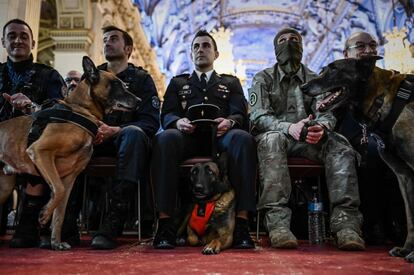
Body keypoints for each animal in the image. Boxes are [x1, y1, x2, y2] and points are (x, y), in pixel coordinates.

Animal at [0, 56, 139, 250]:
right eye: (116, 84)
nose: (140, 101)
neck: (82, 111)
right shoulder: (40, 151)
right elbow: (57, 191)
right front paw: (44, 215)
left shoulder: (69, 178)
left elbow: (60, 210)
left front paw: (56, 242)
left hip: (4, 187)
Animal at [300, 55, 414, 264]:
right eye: (323, 69)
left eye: (334, 69)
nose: (303, 86)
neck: (381, 99)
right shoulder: (404, 176)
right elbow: (411, 217)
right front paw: (407, 249)